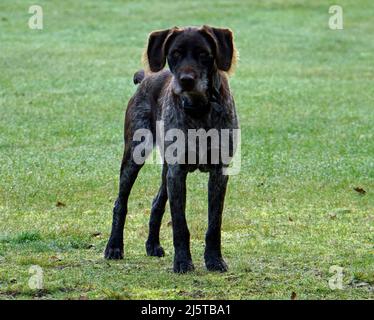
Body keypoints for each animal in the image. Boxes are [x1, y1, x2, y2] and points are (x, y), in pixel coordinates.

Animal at [104, 26, 240, 274]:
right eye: (174, 54)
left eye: (204, 54)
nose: (186, 80)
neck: (199, 109)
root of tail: (145, 78)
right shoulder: (177, 173)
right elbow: (179, 224)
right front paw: (183, 262)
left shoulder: (219, 173)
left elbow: (214, 223)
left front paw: (214, 260)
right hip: (134, 156)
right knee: (121, 203)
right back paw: (114, 247)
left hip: (165, 170)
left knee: (157, 202)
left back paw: (153, 245)